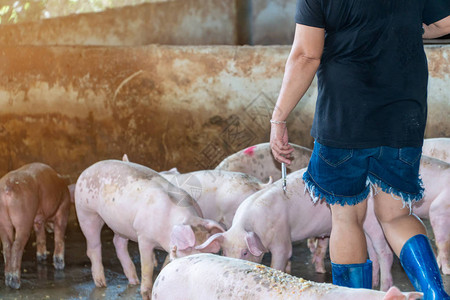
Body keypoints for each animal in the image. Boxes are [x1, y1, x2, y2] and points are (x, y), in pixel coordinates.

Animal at [75, 161, 227, 298]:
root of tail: (86, 170)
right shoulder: (143, 237)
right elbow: (147, 266)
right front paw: (146, 292)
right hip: (85, 211)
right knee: (93, 246)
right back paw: (102, 283)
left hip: (121, 225)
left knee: (118, 243)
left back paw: (134, 280)